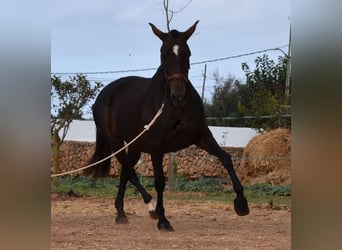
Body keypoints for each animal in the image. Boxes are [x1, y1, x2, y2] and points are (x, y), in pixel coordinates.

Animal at [83, 21, 248, 230]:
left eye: (188, 53)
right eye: (163, 54)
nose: (178, 96)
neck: (175, 109)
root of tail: (105, 93)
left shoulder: (201, 136)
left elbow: (225, 158)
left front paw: (242, 204)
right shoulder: (156, 147)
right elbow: (160, 181)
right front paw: (163, 219)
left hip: (135, 145)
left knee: (125, 173)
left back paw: (121, 213)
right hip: (116, 143)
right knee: (130, 172)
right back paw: (150, 207)